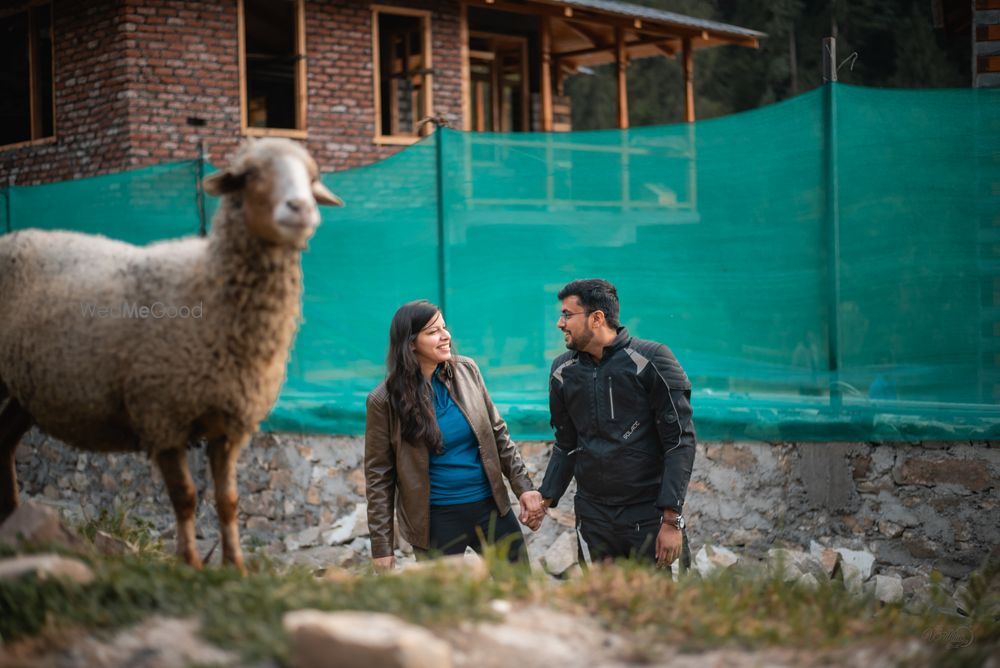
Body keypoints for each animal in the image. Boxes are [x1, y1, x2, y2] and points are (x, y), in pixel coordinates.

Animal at [0, 138, 344, 572]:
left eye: (312, 178)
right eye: (249, 175)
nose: (301, 208)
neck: (207, 284)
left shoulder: (228, 424)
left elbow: (229, 501)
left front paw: (236, 566)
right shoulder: (161, 415)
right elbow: (186, 497)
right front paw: (191, 564)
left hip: (25, 387)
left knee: (4, 441)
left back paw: (12, 520)